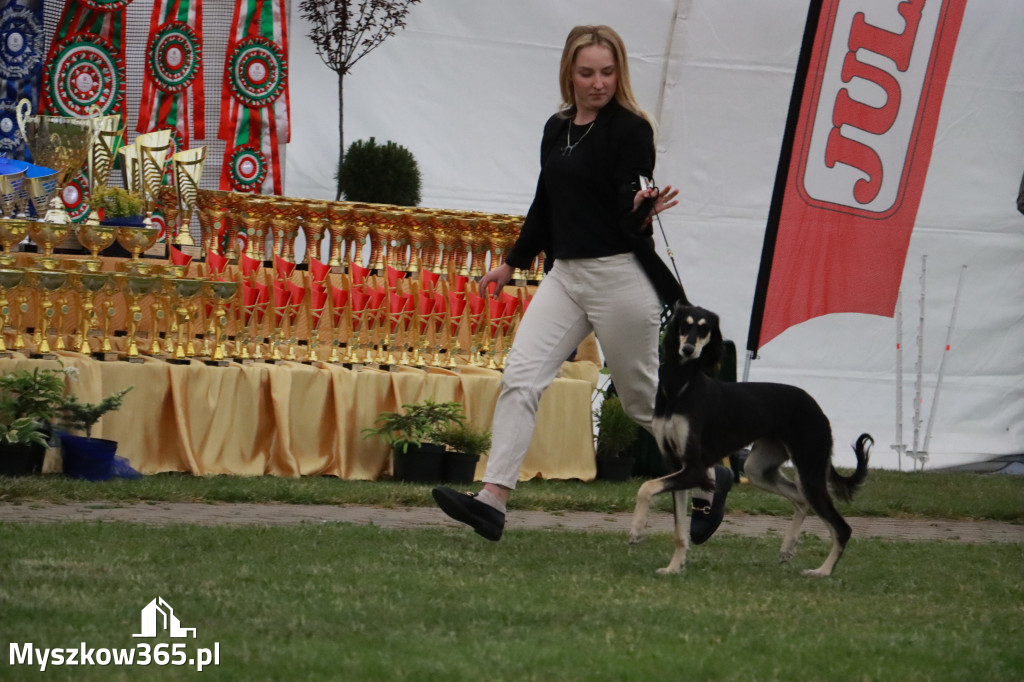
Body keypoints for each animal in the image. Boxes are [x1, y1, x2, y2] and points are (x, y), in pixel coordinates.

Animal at [630, 303, 872, 573]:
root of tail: (817, 409)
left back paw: (822, 572)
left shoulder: (694, 469)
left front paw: (637, 531)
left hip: (810, 471)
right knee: (800, 500)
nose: (689, 349)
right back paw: (788, 547)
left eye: (705, 329)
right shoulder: (676, 466)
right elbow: (679, 530)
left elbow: (646, 486)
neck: (680, 389)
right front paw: (673, 568)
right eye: (685, 324)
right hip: (757, 468)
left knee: (842, 527)